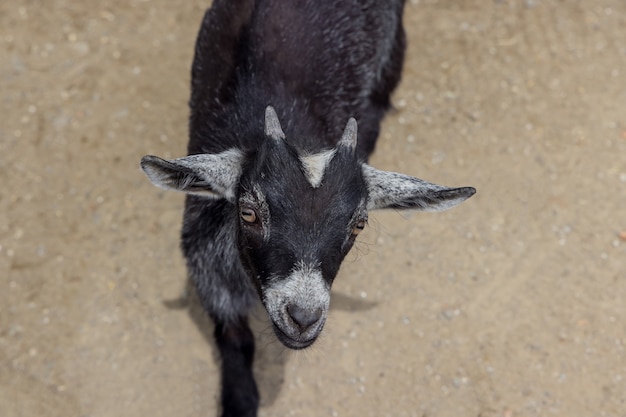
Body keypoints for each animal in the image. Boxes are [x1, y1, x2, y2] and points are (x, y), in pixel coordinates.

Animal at [140, 1, 472, 414]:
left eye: (359, 224)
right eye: (248, 212)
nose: (303, 318)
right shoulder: (206, 257)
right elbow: (234, 337)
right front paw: (240, 397)